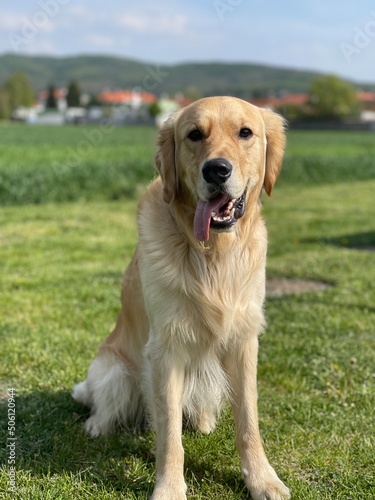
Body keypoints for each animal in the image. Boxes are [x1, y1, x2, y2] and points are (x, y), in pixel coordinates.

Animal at [73, 95, 290, 498]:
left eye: (245, 133)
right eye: (194, 135)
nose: (216, 170)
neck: (212, 253)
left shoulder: (244, 340)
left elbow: (249, 421)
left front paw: (262, 479)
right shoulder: (165, 349)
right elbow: (170, 434)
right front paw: (170, 489)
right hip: (114, 369)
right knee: (106, 403)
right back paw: (97, 425)